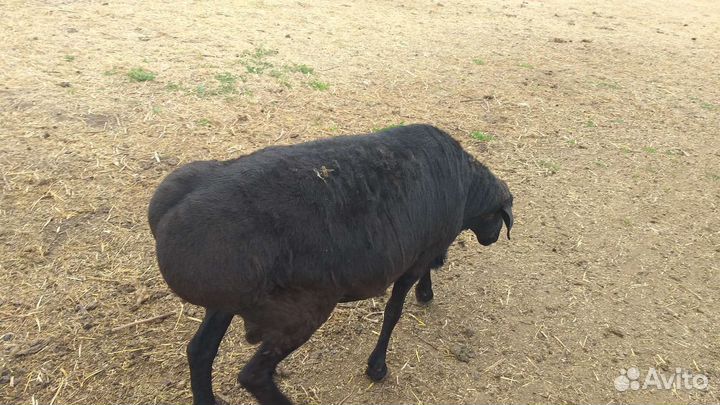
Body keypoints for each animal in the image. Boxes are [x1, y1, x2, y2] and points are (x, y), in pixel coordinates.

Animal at [148, 124, 513, 405]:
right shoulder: (413, 261)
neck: (468, 190)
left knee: (200, 351)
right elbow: (393, 311)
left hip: (227, 301)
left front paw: (426, 293)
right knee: (253, 376)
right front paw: (377, 367)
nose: (493, 238)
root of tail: (167, 217)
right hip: (301, 310)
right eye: (499, 218)